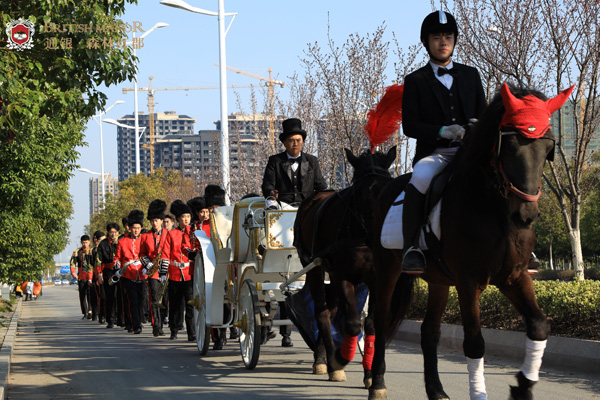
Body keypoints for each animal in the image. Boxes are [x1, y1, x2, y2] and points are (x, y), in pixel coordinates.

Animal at [296, 145, 398, 386]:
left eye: (387, 187)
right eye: (359, 191)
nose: (376, 235)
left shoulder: (377, 280)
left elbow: (371, 325)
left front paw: (371, 373)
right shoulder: (344, 276)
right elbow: (352, 323)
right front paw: (340, 359)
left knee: (330, 310)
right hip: (313, 266)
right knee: (322, 312)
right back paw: (325, 361)